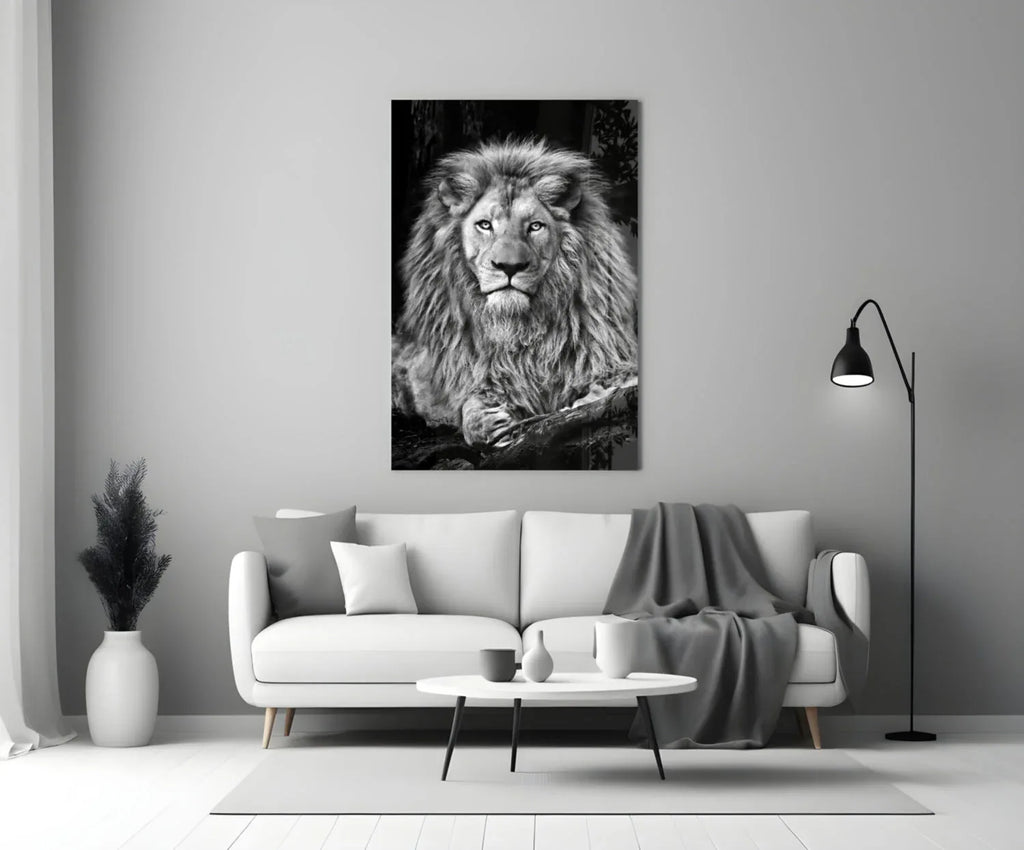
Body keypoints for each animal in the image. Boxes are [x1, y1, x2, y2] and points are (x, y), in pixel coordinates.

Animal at [392, 138, 638, 448]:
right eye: (485, 224)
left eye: (535, 226)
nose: (509, 266)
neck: (519, 330)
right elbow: (468, 407)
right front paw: (488, 421)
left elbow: (617, 383)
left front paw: (589, 398)